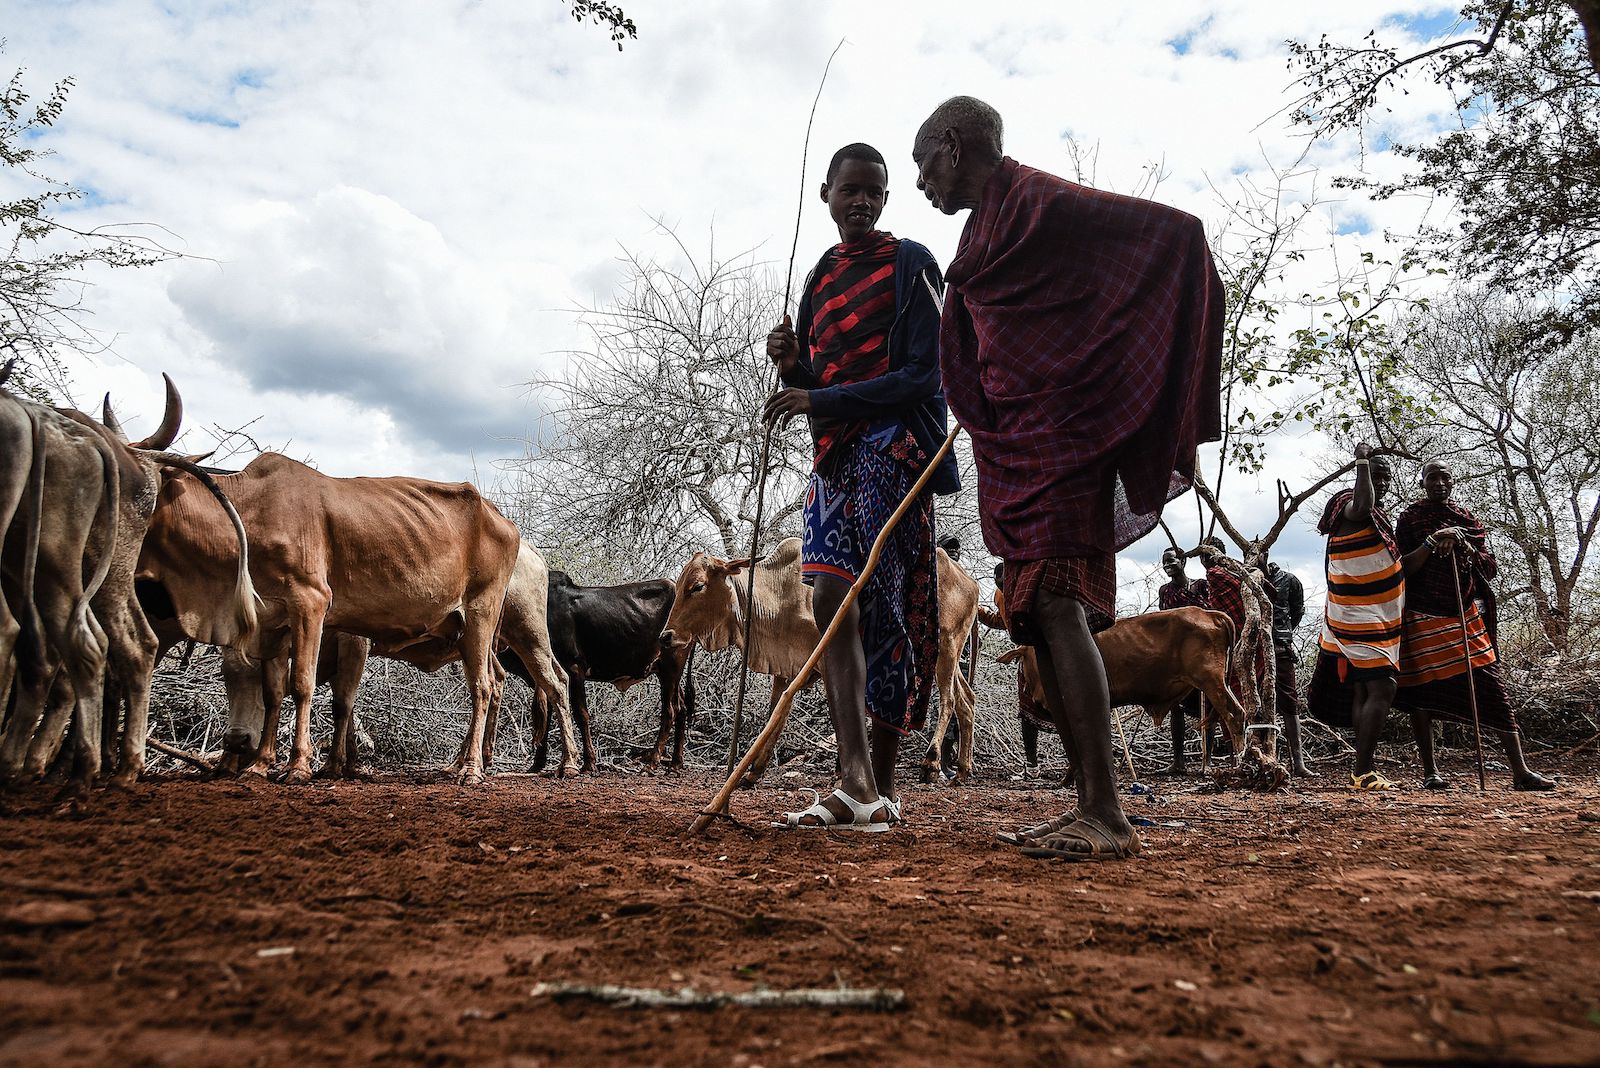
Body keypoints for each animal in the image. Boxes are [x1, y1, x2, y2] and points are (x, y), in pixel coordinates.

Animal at [140, 450, 518, 783]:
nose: (235, 741)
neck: (250, 510)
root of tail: (499, 516)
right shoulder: (272, 624)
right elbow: (275, 692)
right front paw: (261, 765)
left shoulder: (312, 604)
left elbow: (305, 685)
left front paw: (300, 766)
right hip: (466, 633)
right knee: (491, 680)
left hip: (480, 615)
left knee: (483, 686)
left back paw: (471, 768)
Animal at [499, 572, 694, 770]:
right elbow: (548, 715)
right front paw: (537, 764)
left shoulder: (574, 669)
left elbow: (581, 714)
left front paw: (589, 762)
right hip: (668, 673)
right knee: (682, 708)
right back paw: (676, 762)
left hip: (671, 667)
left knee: (670, 710)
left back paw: (654, 760)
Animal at [659, 543, 979, 783]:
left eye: (697, 586)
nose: (666, 635)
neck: (782, 593)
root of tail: (970, 582)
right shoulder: (787, 666)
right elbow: (776, 714)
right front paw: (754, 770)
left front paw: (841, 769)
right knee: (967, 699)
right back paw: (963, 770)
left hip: (946, 647)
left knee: (949, 700)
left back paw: (932, 763)